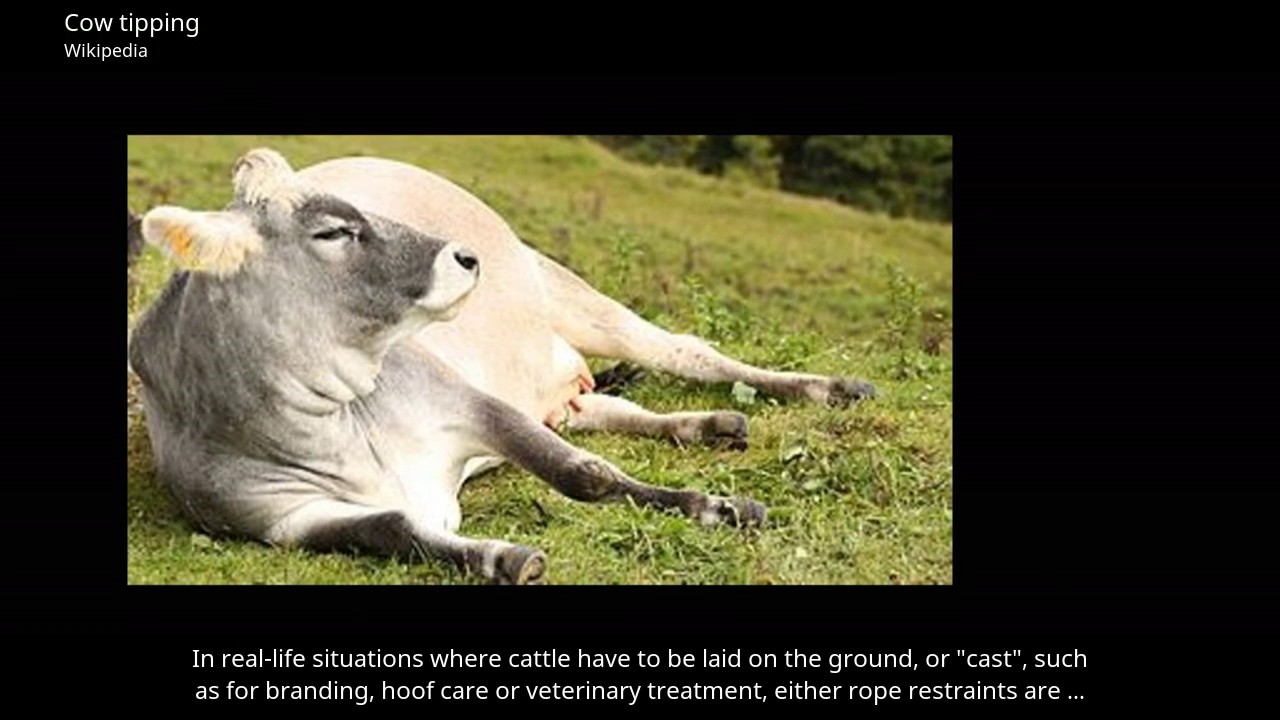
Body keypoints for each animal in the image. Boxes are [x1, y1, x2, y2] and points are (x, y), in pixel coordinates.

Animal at [126, 148, 876, 584]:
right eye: (334, 231)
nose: (464, 256)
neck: (326, 423)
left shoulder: (466, 401)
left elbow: (584, 475)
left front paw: (715, 507)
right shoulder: (285, 520)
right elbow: (395, 528)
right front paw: (500, 556)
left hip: (572, 294)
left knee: (691, 351)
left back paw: (830, 388)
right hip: (557, 378)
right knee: (609, 408)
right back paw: (710, 425)